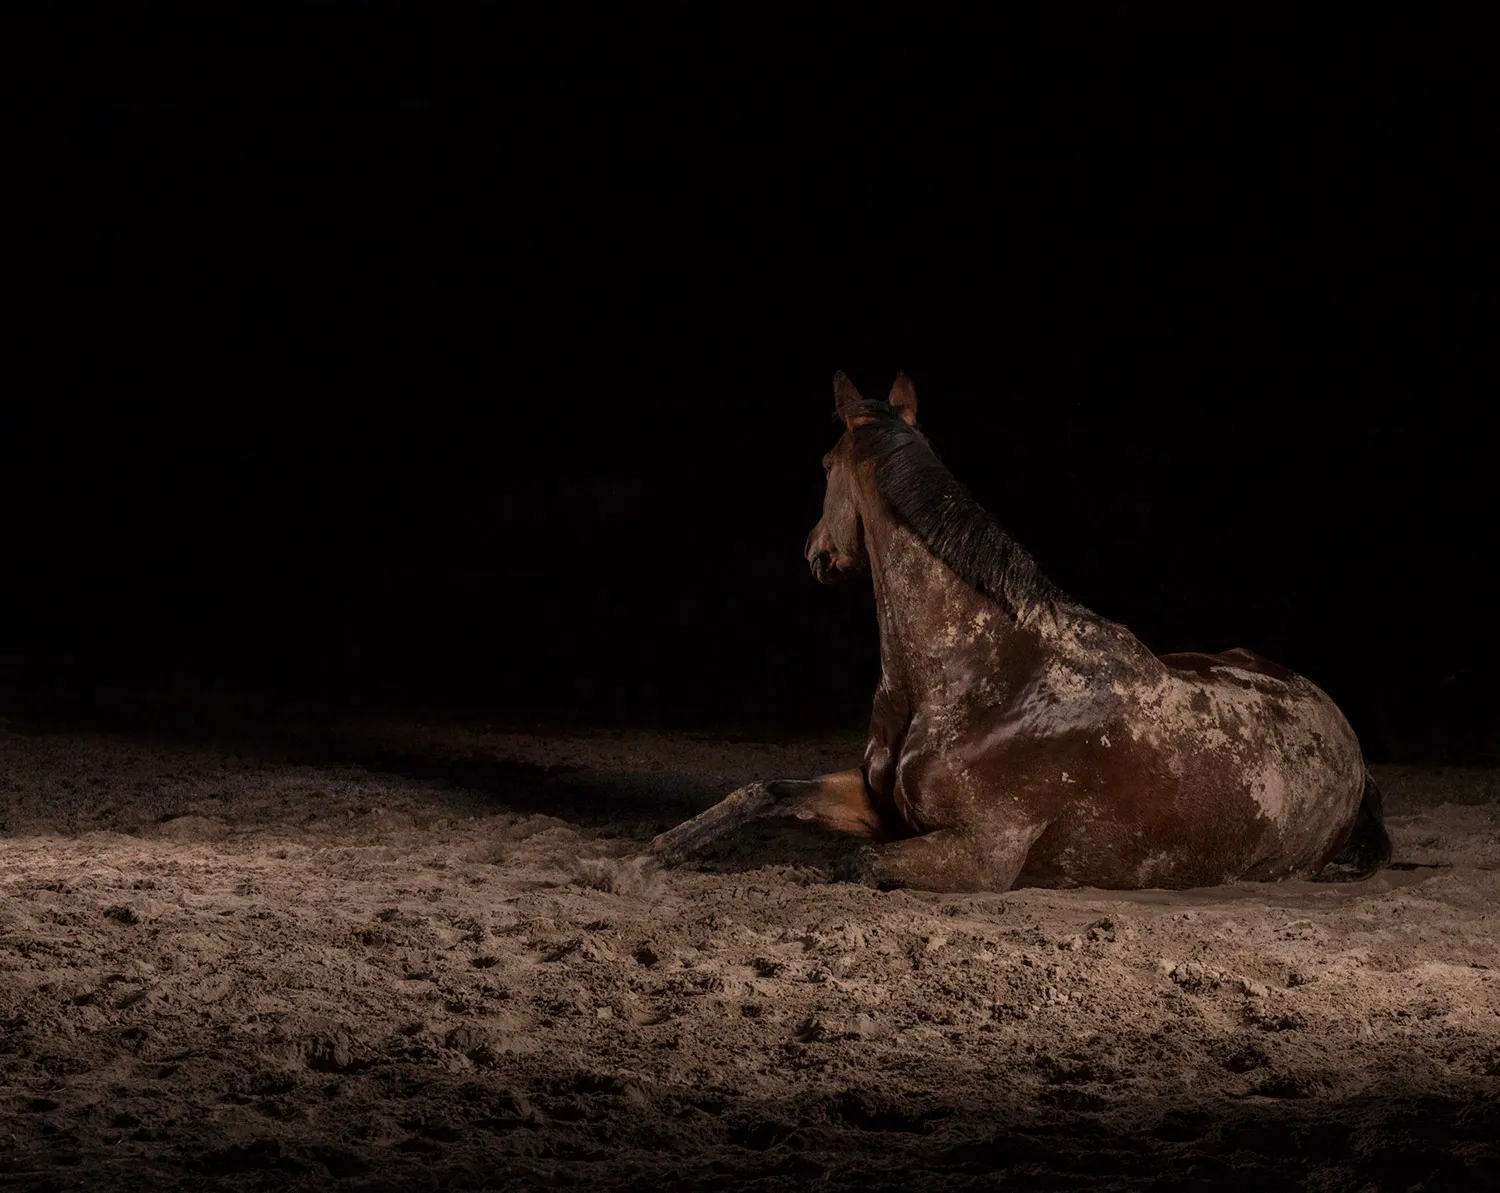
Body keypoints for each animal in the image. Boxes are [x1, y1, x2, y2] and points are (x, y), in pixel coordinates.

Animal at [649, 372, 1391, 893]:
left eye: (826, 465)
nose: (814, 551)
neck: (986, 678)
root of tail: (1351, 746)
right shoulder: (877, 800)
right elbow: (761, 792)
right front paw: (657, 852)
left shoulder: (980, 853)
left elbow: (854, 864)